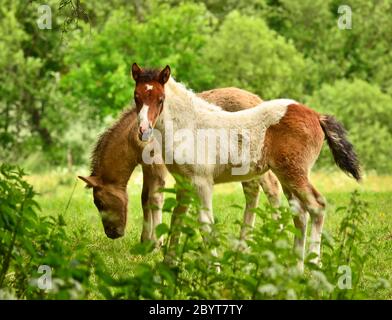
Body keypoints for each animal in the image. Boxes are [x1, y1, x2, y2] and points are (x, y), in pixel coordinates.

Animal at [132, 63, 362, 268]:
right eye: (136, 97)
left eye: (161, 99)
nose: (143, 129)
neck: (190, 126)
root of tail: (316, 115)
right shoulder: (184, 183)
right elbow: (177, 220)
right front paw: (168, 266)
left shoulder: (202, 182)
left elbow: (205, 223)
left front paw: (214, 269)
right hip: (287, 177)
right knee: (301, 215)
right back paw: (295, 268)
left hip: (294, 173)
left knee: (317, 206)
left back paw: (313, 266)